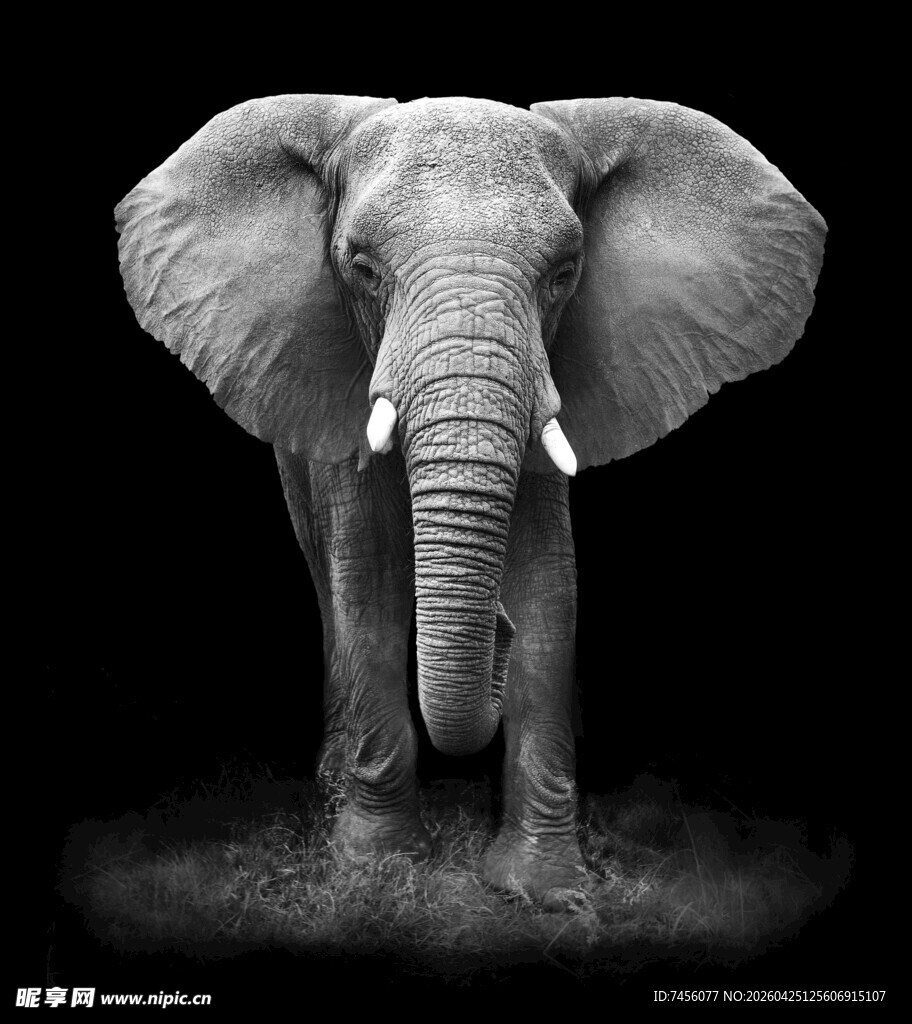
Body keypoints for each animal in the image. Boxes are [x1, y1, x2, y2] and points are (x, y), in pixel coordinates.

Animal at [115, 94, 825, 907]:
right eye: (361, 269)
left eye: (564, 274)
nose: (496, 632)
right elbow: (369, 584)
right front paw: (377, 870)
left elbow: (549, 587)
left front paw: (544, 889)